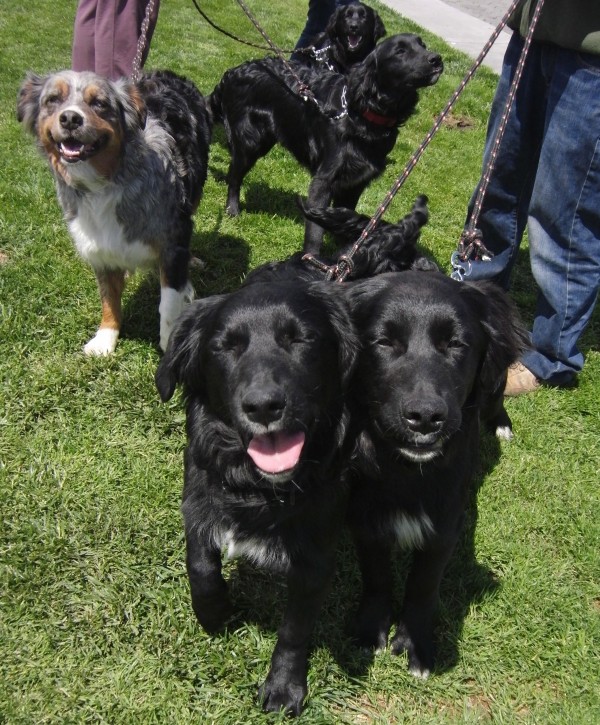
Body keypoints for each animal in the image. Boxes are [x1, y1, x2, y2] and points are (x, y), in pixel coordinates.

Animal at [157, 280, 358, 716]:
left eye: (300, 338)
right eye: (225, 346)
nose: (264, 406)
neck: (259, 488)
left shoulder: (315, 557)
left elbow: (294, 631)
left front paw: (284, 686)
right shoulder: (197, 497)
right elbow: (200, 566)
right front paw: (215, 613)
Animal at [210, 34, 440, 255]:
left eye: (423, 45)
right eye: (400, 51)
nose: (437, 59)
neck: (363, 116)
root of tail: (234, 71)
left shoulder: (354, 184)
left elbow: (345, 219)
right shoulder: (323, 181)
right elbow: (315, 231)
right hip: (251, 142)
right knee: (234, 176)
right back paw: (232, 210)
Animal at [344, 272, 528, 680]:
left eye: (456, 344)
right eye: (384, 342)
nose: (426, 416)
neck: (407, 470)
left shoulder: (445, 525)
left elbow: (423, 585)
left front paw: (415, 643)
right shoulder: (364, 516)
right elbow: (376, 576)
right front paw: (370, 630)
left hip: (494, 384)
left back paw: (502, 425)